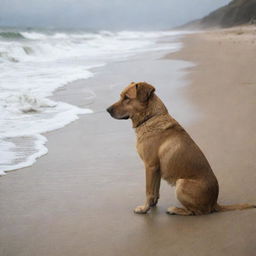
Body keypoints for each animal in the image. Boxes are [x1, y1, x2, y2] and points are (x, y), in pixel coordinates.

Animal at [106, 83, 254, 215]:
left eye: (126, 98)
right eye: (121, 96)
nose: (107, 109)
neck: (151, 117)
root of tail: (214, 203)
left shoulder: (150, 166)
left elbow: (148, 191)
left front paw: (144, 209)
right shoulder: (156, 169)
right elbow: (155, 190)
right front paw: (152, 204)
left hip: (181, 183)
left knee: (197, 212)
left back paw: (175, 210)